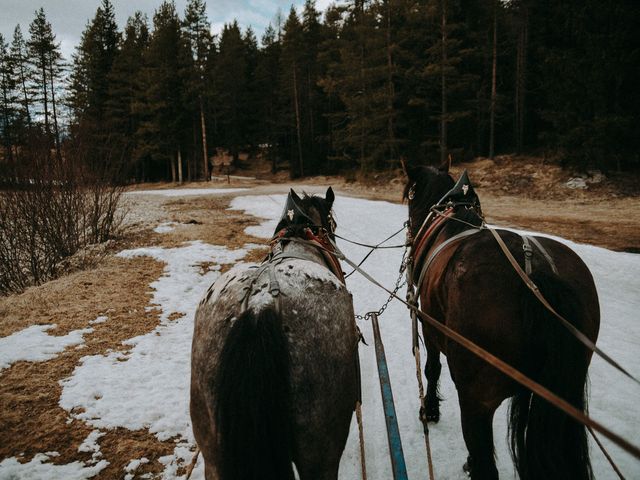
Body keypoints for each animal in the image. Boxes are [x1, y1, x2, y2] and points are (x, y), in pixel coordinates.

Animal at [404, 162, 600, 480]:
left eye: (409, 194)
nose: (410, 232)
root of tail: (536, 272)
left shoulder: (428, 324)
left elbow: (431, 368)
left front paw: (430, 409)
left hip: (476, 398)